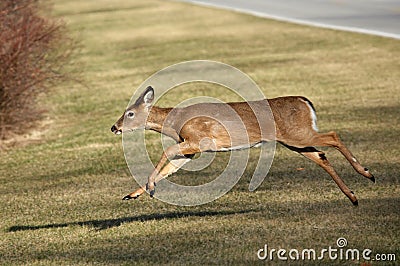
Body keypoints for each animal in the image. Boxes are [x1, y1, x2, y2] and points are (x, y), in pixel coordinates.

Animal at [111, 86, 376, 205]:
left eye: (130, 113)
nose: (114, 127)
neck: (174, 123)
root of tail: (305, 101)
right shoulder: (191, 149)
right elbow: (170, 167)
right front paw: (133, 193)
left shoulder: (199, 141)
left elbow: (166, 152)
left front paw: (150, 187)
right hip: (295, 141)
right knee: (321, 155)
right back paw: (353, 196)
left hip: (298, 135)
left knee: (333, 135)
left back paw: (367, 173)